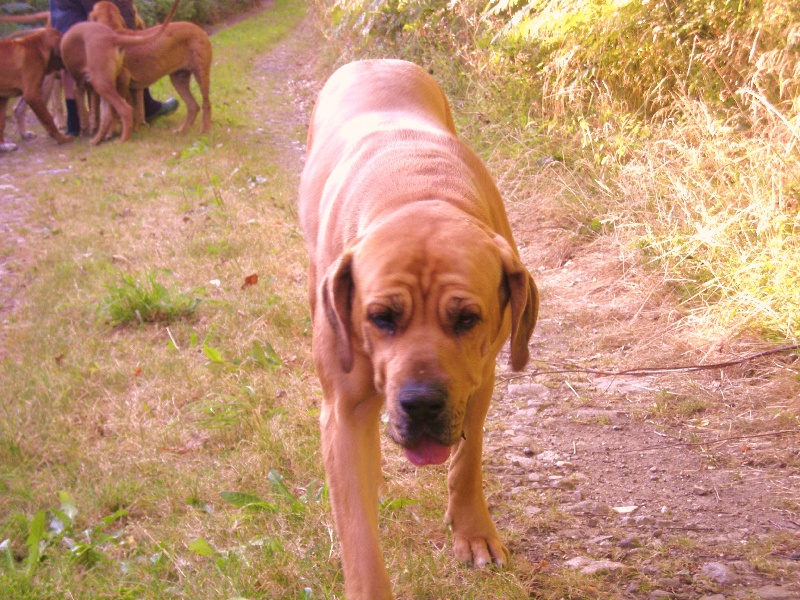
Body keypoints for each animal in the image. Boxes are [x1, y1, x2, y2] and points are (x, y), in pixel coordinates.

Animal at [296, 58, 540, 596]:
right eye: (380, 317)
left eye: (467, 319)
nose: (423, 403)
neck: (416, 190)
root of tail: (373, 59)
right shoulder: (342, 410)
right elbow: (358, 535)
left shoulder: (480, 379)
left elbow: (468, 460)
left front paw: (473, 531)